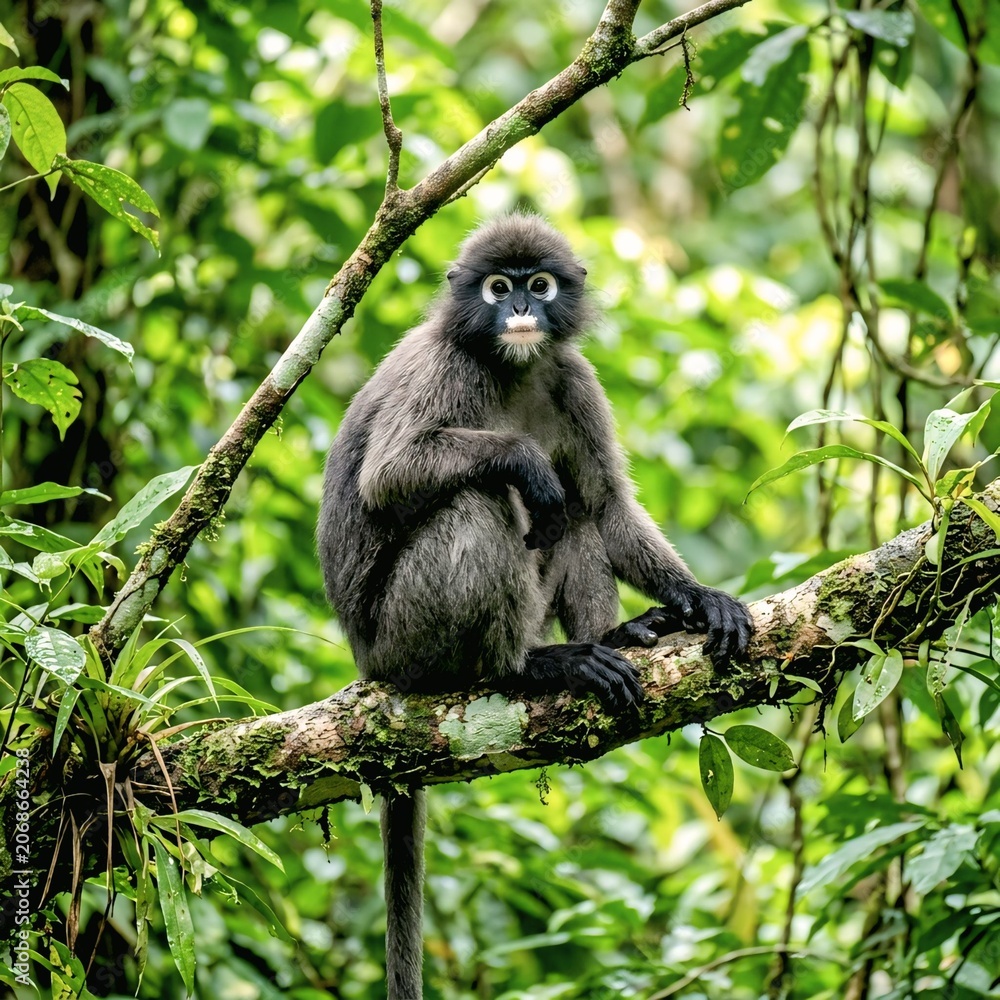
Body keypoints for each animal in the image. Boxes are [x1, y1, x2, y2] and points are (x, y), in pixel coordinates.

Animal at [317, 213, 753, 999]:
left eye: (539, 285)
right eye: (498, 287)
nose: (520, 308)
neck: (513, 367)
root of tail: (369, 665)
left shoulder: (572, 379)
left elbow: (606, 504)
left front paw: (701, 599)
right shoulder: (446, 367)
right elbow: (391, 474)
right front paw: (523, 458)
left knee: (573, 513)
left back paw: (620, 633)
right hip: (405, 638)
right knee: (481, 495)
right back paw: (526, 666)